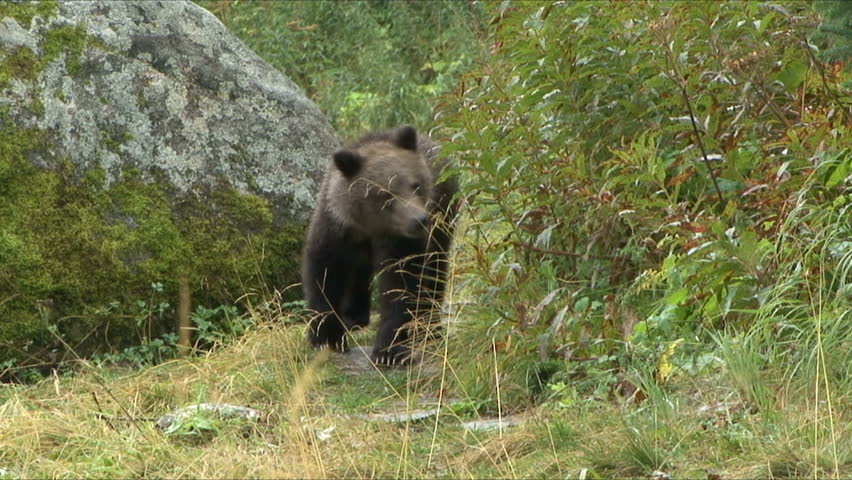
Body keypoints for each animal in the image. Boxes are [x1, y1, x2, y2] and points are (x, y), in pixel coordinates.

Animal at [302, 125, 458, 365]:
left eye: (416, 185)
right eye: (386, 193)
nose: (420, 219)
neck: (369, 226)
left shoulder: (400, 242)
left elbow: (400, 285)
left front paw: (388, 351)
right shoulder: (336, 229)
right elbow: (325, 277)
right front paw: (327, 338)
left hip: (444, 218)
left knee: (435, 270)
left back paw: (429, 326)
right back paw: (353, 316)